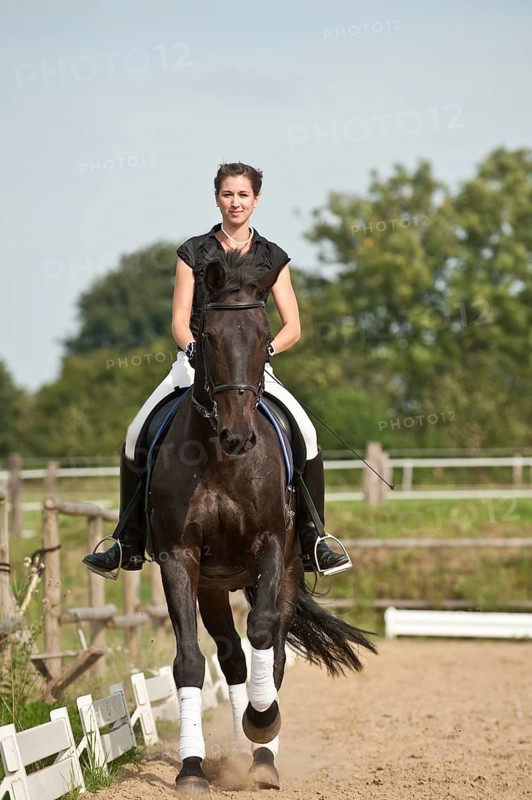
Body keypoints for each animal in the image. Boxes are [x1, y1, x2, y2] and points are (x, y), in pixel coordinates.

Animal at [149, 249, 376, 796]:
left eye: (264, 334)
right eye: (208, 336)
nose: (238, 435)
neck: (220, 460)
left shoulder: (272, 547)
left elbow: (263, 635)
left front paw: (263, 724)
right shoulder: (178, 559)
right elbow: (190, 659)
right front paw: (192, 768)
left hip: (289, 568)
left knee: (269, 648)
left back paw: (263, 753)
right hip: (212, 584)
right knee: (231, 657)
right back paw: (240, 750)